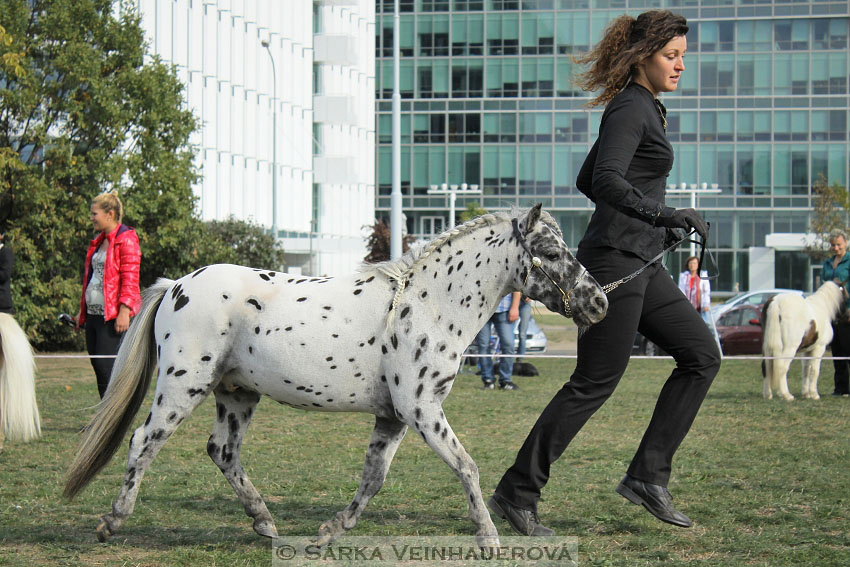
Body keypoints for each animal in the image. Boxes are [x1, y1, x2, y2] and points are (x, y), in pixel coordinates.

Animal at [66, 204, 608, 544]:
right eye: (552, 252)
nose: (598, 303)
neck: (426, 304)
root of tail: (177, 283)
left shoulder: (394, 416)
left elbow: (373, 479)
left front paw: (330, 531)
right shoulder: (421, 408)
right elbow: (466, 466)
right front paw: (488, 537)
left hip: (236, 394)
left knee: (222, 452)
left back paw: (265, 523)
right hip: (184, 385)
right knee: (143, 442)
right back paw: (112, 522)